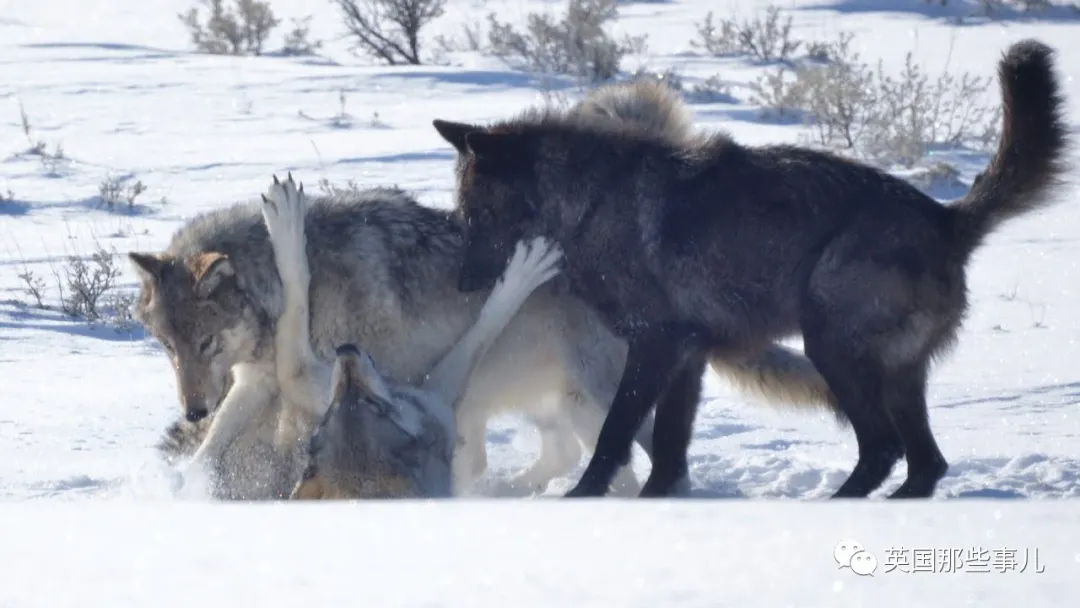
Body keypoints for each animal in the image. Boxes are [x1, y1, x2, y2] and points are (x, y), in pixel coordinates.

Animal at [258, 173, 565, 496]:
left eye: (330, 416)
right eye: (378, 409)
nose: (347, 349)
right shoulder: (437, 394)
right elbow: (486, 324)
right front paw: (526, 270)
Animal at [432, 40, 1071, 501]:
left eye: (477, 215)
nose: (462, 284)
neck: (588, 205)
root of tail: (946, 216)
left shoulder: (655, 346)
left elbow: (616, 435)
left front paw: (582, 499)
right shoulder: (687, 354)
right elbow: (669, 449)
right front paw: (660, 501)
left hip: (834, 351)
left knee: (884, 450)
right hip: (893, 376)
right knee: (925, 464)